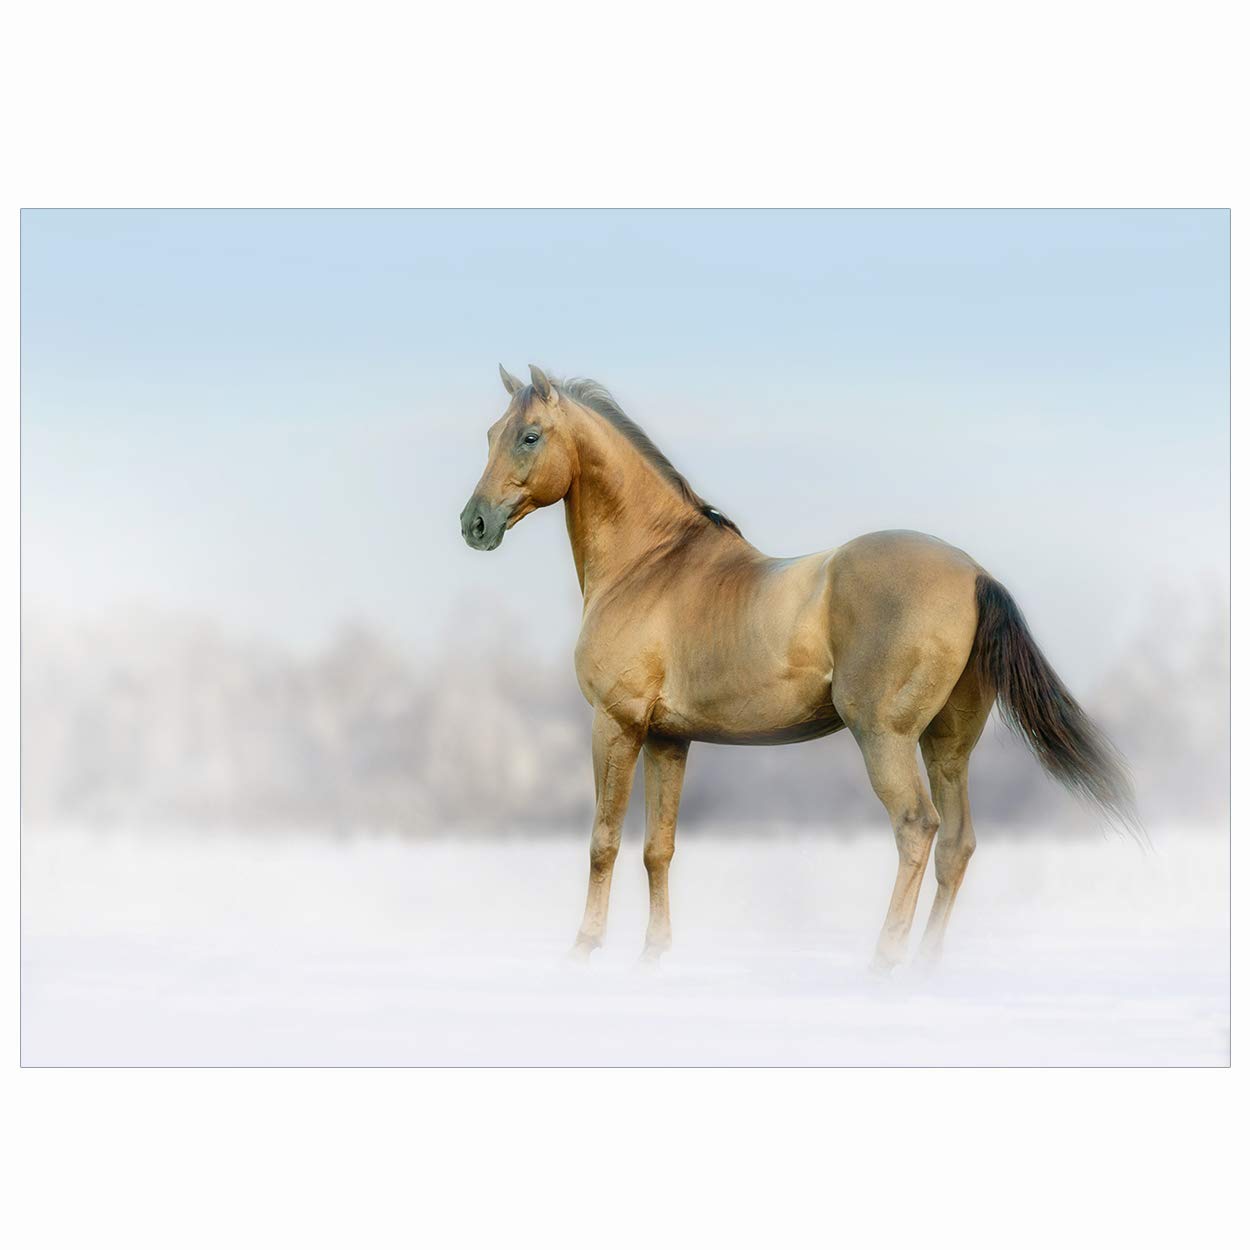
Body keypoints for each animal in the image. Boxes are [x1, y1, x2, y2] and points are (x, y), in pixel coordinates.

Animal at [460, 364, 1137, 971]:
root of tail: (973, 573)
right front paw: (654, 953)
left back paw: (885, 960)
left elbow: (603, 841)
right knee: (956, 844)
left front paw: (583, 948)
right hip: (947, 746)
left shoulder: (616, 724)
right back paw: (925, 965)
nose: (475, 523)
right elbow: (659, 848)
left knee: (917, 829)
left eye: (530, 435)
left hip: (885, 739)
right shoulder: (668, 739)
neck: (650, 564)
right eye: (492, 433)